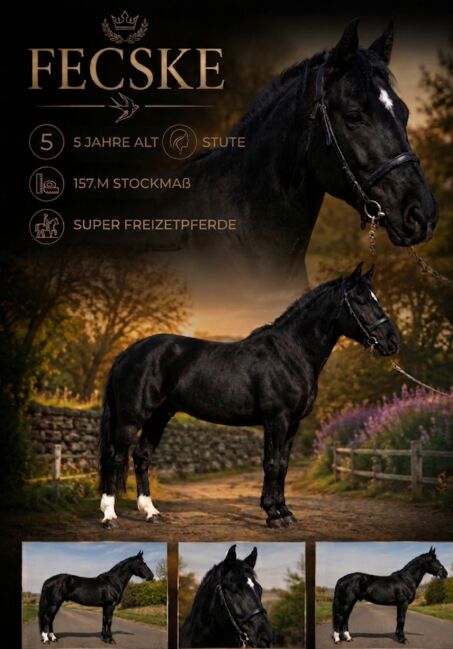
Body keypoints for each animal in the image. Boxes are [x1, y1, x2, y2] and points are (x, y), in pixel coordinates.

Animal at [98, 261, 399, 529]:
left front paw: (285, 512)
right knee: (115, 457)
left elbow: (284, 465)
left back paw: (151, 513)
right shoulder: (276, 421)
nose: (392, 342)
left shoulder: (293, 424)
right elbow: (272, 464)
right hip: (131, 419)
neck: (290, 353)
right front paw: (273, 515)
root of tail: (127, 353)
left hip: (159, 416)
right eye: (361, 300)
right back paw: (110, 516)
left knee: (141, 456)